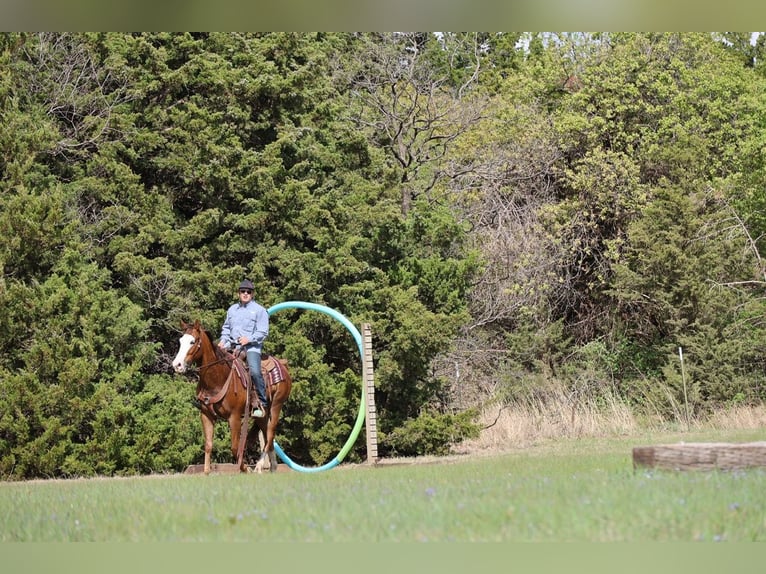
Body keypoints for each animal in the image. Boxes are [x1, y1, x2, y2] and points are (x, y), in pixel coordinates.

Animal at [171, 319, 292, 474]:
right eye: (180, 341)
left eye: (193, 341)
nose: (177, 365)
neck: (217, 379)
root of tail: (282, 365)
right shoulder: (206, 415)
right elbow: (208, 445)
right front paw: (206, 472)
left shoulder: (234, 417)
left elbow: (235, 447)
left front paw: (245, 469)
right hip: (262, 415)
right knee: (267, 435)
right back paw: (272, 467)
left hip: (276, 406)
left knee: (270, 434)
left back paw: (258, 466)